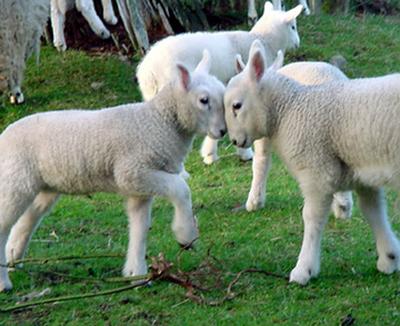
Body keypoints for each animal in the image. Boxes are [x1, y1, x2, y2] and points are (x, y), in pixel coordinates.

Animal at [0, 49, 227, 292]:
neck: (159, 123)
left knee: (27, 220)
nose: (223, 131)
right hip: (15, 181)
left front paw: (136, 273)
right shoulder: (132, 172)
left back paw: (14, 259)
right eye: (203, 100)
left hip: (43, 186)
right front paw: (186, 235)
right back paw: (4, 282)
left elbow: (140, 227)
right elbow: (181, 189)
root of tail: (4, 136)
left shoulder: (140, 187)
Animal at [138, 1, 304, 166]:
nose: (298, 43)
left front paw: (210, 153)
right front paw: (239, 152)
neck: (261, 40)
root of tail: (148, 71)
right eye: (293, 27)